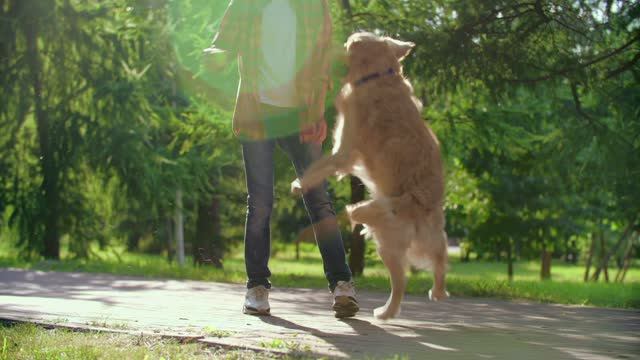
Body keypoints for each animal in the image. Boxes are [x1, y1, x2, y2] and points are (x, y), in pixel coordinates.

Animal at [292, 32, 448, 320]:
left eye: (346, 44)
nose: (330, 46)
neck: (377, 75)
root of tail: (422, 206)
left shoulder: (343, 151)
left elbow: (319, 166)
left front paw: (299, 184)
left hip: (380, 226)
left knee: (415, 271)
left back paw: (398, 307)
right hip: (398, 238)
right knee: (429, 263)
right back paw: (408, 303)